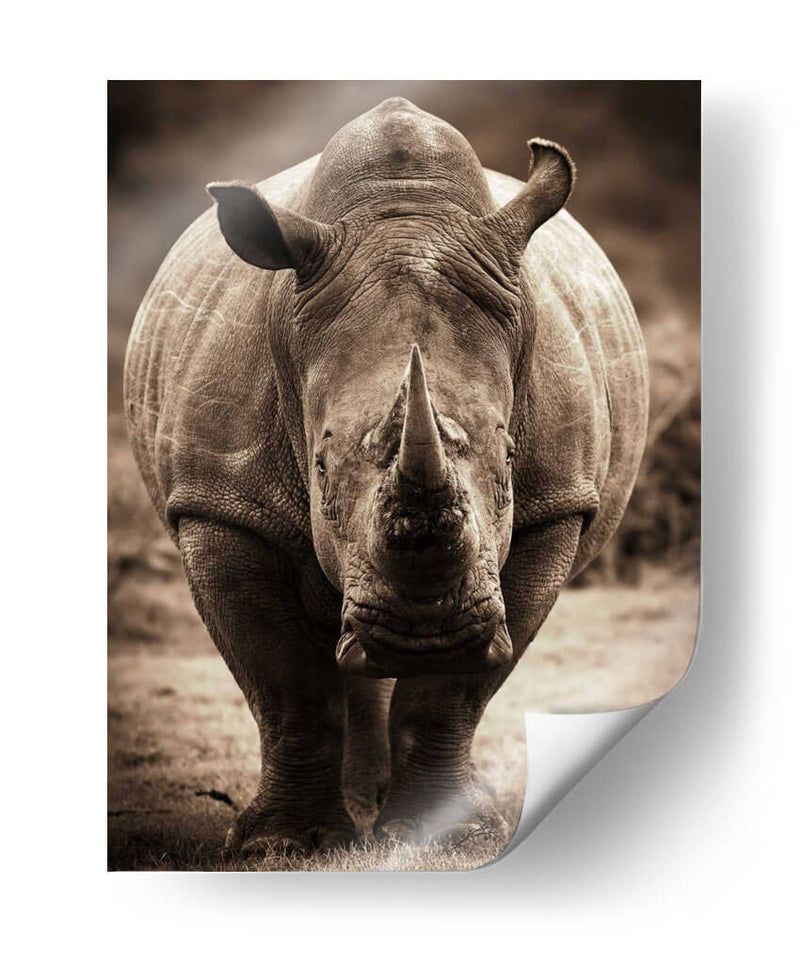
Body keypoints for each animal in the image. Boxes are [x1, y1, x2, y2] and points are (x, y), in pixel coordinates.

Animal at [124, 97, 648, 853]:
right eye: (318, 466)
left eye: (510, 458)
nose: (426, 633)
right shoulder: (218, 505)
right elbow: (287, 684)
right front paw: (284, 846)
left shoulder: (556, 506)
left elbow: (450, 698)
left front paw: (448, 839)